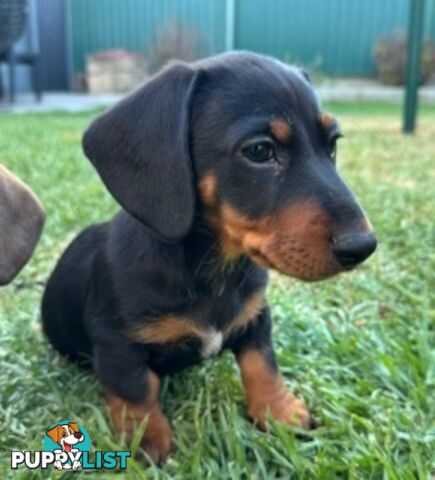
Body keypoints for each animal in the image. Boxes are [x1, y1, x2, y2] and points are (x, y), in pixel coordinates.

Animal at [43, 51, 378, 462]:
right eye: (260, 151)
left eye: (332, 145)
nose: (363, 245)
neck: (214, 270)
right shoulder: (116, 342)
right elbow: (136, 391)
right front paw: (146, 439)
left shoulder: (256, 316)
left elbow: (262, 365)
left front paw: (279, 411)